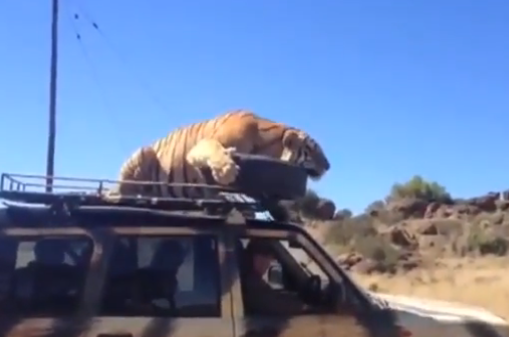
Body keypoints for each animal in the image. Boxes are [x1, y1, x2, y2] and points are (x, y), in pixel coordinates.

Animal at [106, 109, 330, 197]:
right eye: (312, 149)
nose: (328, 166)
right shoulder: (200, 147)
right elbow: (215, 148)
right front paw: (226, 170)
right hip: (143, 153)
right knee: (122, 188)